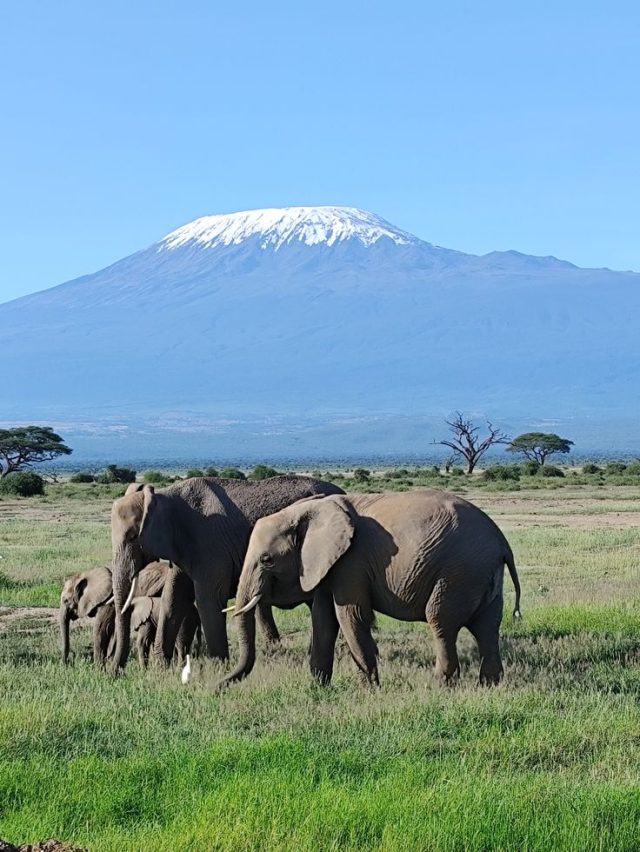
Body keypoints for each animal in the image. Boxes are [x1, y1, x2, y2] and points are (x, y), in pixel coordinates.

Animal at [110, 475, 344, 671]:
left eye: (132, 537)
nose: (115, 673)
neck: (164, 497)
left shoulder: (210, 544)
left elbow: (208, 599)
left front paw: (217, 669)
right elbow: (173, 598)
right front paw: (161, 669)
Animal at [221, 490, 522, 688]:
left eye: (267, 559)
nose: (218, 687)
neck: (308, 510)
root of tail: (502, 542)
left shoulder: (352, 561)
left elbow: (350, 616)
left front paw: (368, 688)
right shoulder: (330, 564)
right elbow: (323, 619)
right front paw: (318, 687)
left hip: (459, 572)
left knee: (441, 622)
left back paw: (440, 686)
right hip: (481, 573)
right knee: (487, 627)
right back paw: (490, 685)